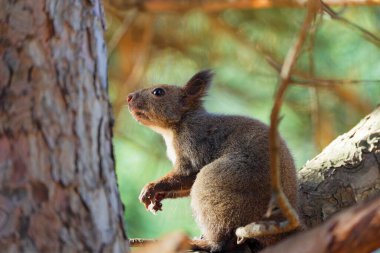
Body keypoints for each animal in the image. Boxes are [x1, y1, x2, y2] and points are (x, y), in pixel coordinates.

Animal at [127, 70, 300, 252]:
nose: (129, 97)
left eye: (159, 92)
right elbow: (184, 186)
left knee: (224, 239)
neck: (177, 126)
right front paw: (156, 199)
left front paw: (151, 188)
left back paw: (203, 243)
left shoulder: (194, 146)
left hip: (217, 187)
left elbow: (185, 176)